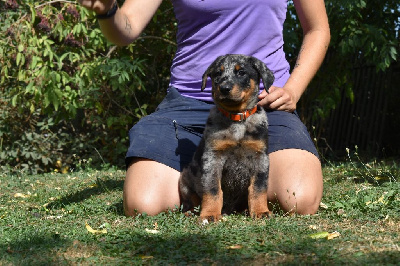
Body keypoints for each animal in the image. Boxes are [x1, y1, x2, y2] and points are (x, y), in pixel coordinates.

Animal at [179, 54, 276, 222]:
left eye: (241, 72)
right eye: (217, 73)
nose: (224, 88)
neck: (236, 118)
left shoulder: (260, 158)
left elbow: (258, 187)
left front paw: (261, 211)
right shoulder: (213, 157)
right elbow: (212, 189)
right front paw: (210, 214)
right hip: (185, 180)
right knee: (190, 201)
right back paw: (190, 212)